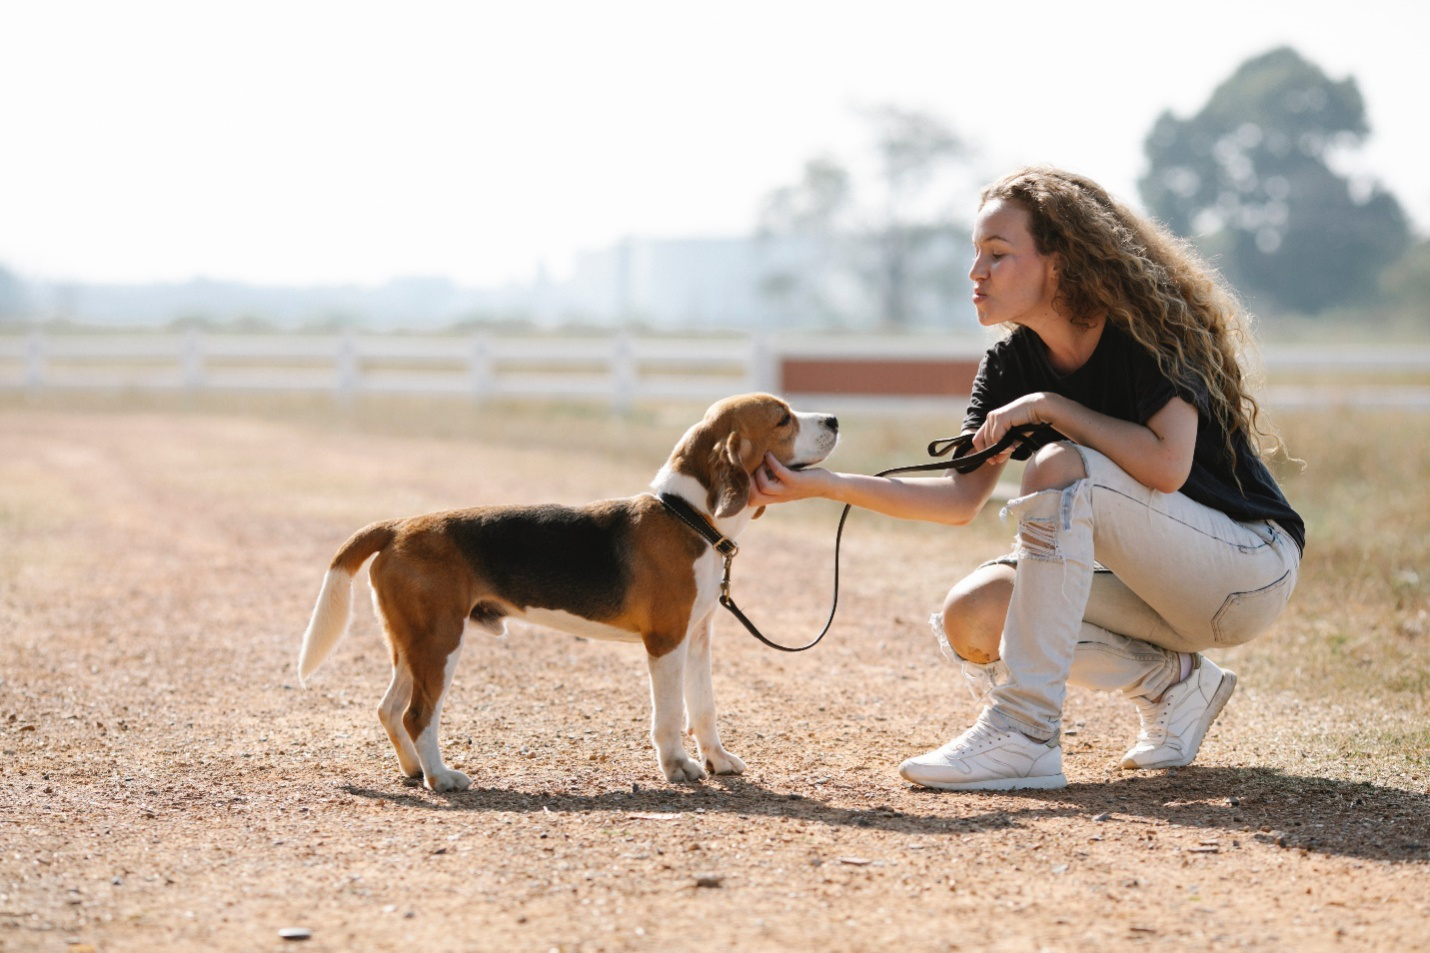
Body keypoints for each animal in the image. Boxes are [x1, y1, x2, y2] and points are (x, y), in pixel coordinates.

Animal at [298, 389, 835, 789]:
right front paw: (678, 766)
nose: (833, 418)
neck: (688, 516)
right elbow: (670, 712)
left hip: (412, 643)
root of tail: (397, 526)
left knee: (389, 709)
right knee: (416, 716)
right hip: (439, 641)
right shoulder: (666, 641)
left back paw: (413, 770)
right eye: (782, 419)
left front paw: (718, 760)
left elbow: (704, 707)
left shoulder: (698, 637)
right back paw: (440, 777)